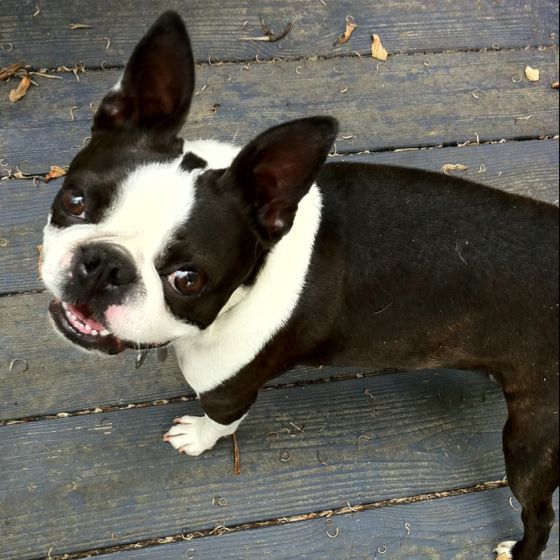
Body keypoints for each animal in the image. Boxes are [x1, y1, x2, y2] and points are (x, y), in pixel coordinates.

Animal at [39, 9, 556, 560]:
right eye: (73, 201)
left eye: (187, 280)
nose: (104, 266)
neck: (256, 270)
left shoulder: (228, 388)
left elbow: (223, 420)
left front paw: (198, 436)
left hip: (533, 434)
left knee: (540, 513)